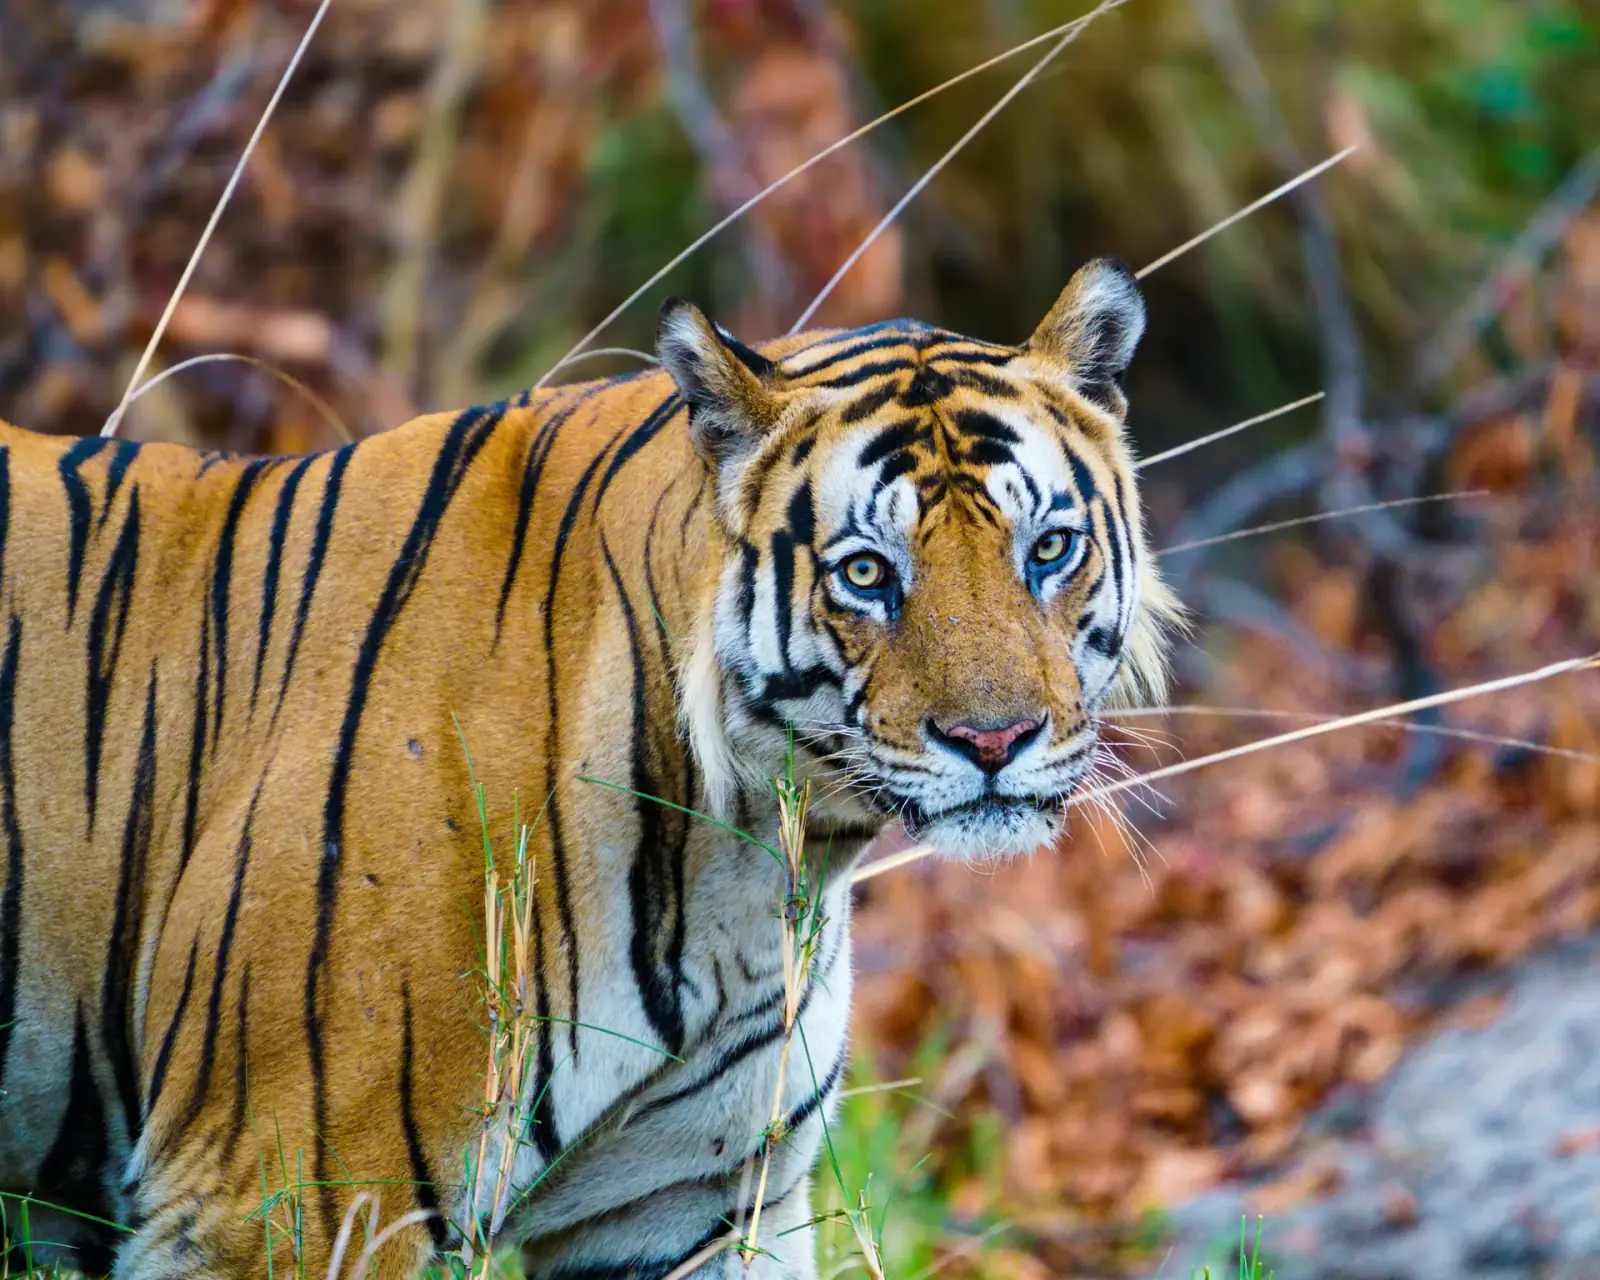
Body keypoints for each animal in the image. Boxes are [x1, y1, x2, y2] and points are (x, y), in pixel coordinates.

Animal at [0, 255, 1177, 1279]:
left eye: (1048, 550)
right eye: (865, 573)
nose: (996, 741)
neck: (749, 865)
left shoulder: (688, 1204)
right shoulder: (285, 1196)